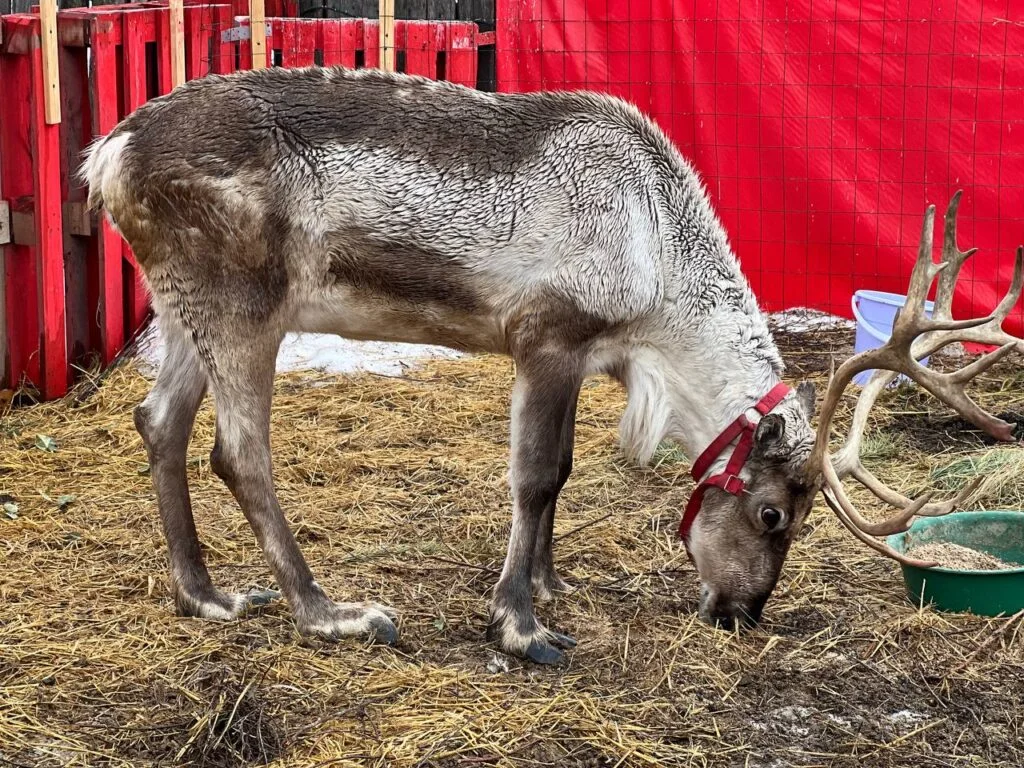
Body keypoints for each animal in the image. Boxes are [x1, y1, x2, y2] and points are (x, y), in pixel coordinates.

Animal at [79, 65, 1023, 665]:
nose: (743, 613)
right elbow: (534, 477)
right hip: (243, 304)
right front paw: (522, 626)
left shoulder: (589, 355)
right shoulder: (547, 336)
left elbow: (563, 471)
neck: (659, 268)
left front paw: (551, 582)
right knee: (239, 451)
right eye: (772, 516)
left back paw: (208, 594)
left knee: (157, 420)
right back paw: (332, 613)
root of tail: (108, 152)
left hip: (183, 306)